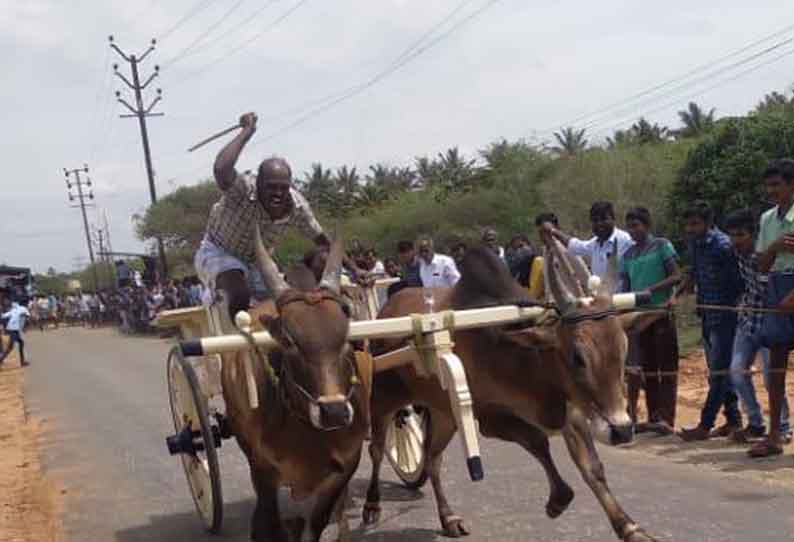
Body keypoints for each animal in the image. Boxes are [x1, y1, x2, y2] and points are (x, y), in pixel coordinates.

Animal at [221, 226, 370, 542]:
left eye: (345, 336)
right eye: (289, 341)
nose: (334, 413)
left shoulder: (347, 464)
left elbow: (317, 522)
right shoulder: (262, 469)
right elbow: (269, 525)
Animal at [364, 245, 656, 542]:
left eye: (623, 348)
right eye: (578, 357)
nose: (622, 430)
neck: (526, 359)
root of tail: (386, 309)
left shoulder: (573, 414)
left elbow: (593, 468)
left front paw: (629, 527)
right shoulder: (490, 419)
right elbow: (538, 440)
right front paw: (558, 499)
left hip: (444, 413)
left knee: (433, 459)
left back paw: (448, 518)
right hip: (382, 399)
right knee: (376, 450)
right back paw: (372, 505)